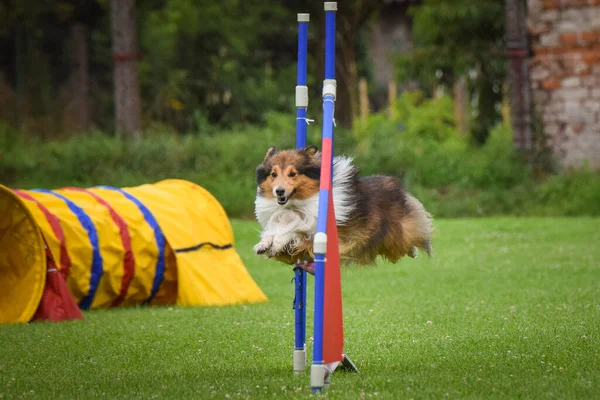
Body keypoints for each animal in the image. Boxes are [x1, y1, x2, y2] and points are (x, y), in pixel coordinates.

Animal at [252, 145, 432, 266]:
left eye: (292, 173)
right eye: (273, 174)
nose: (279, 191)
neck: (296, 205)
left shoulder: (318, 236)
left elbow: (294, 232)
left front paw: (276, 242)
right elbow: (274, 232)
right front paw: (263, 245)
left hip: (396, 232)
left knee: (412, 237)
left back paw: (415, 250)